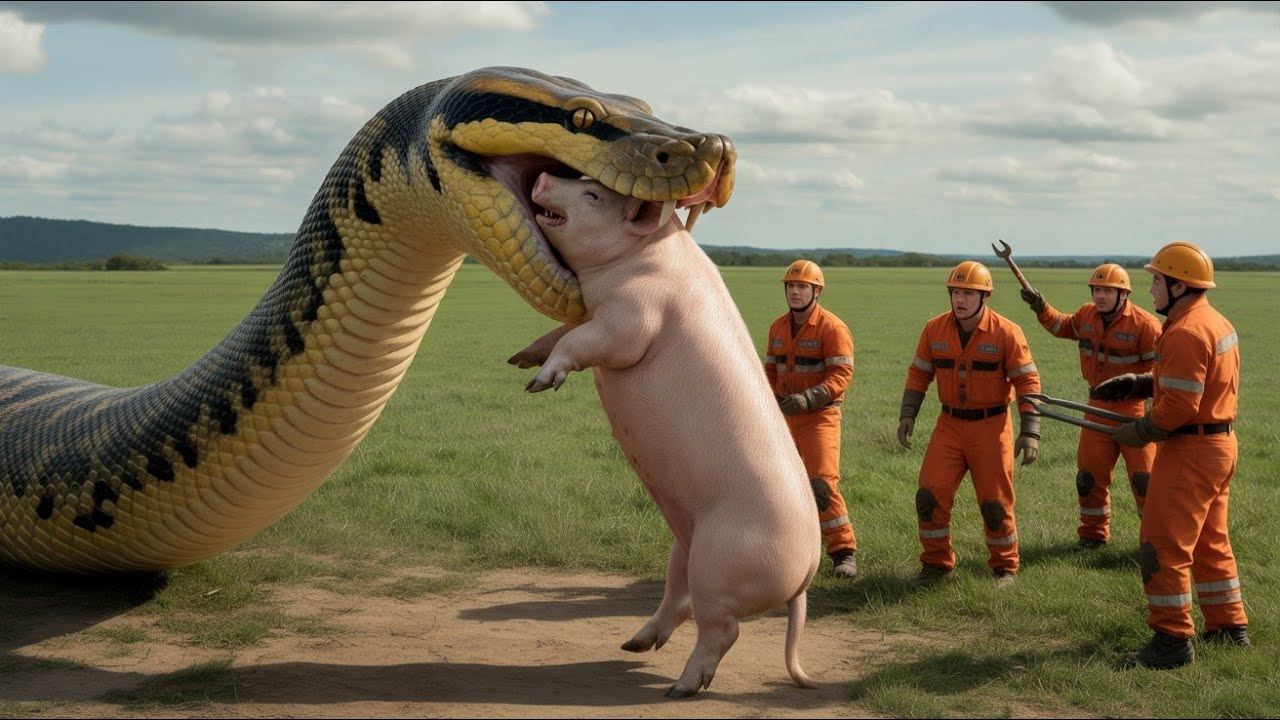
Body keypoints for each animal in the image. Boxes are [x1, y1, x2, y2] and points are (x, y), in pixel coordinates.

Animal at [507, 172, 822, 698]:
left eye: (594, 195)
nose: (546, 175)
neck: (639, 259)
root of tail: (804, 575)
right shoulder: (592, 313)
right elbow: (560, 331)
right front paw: (518, 360)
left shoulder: (632, 317)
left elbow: (581, 340)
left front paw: (540, 384)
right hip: (685, 545)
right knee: (679, 602)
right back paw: (633, 645)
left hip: (720, 561)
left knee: (721, 629)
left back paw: (682, 687)